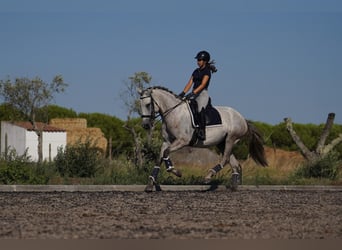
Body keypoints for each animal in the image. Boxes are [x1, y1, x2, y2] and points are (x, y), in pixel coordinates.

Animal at [137, 86, 268, 191]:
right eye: (140, 105)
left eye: (148, 105)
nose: (145, 125)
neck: (174, 113)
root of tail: (243, 119)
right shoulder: (166, 141)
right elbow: (160, 158)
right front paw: (150, 184)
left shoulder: (182, 141)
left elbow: (166, 153)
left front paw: (176, 172)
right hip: (222, 143)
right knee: (234, 164)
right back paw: (233, 186)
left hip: (230, 139)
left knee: (225, 159)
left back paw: (208, 176)